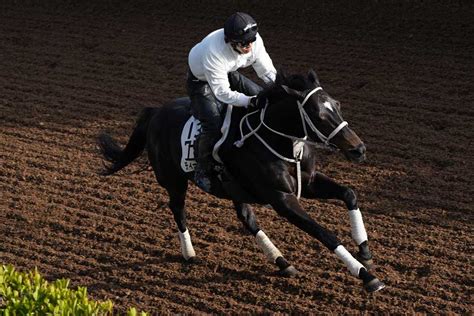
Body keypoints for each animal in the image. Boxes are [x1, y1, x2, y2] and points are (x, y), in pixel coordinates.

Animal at [99, 70, 386, 292]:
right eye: (318, 114)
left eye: (337, 105)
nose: (359, 149)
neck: (278, 140)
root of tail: (156, 112)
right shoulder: (281, 199)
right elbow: (324, 233)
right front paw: (367, 276)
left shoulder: (309, 182)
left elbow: (349, 193)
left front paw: (365, 252)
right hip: (174, 180)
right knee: (178, 209)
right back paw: (189, 253)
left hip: (232, 188)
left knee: (247, 219)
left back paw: (282, 262)